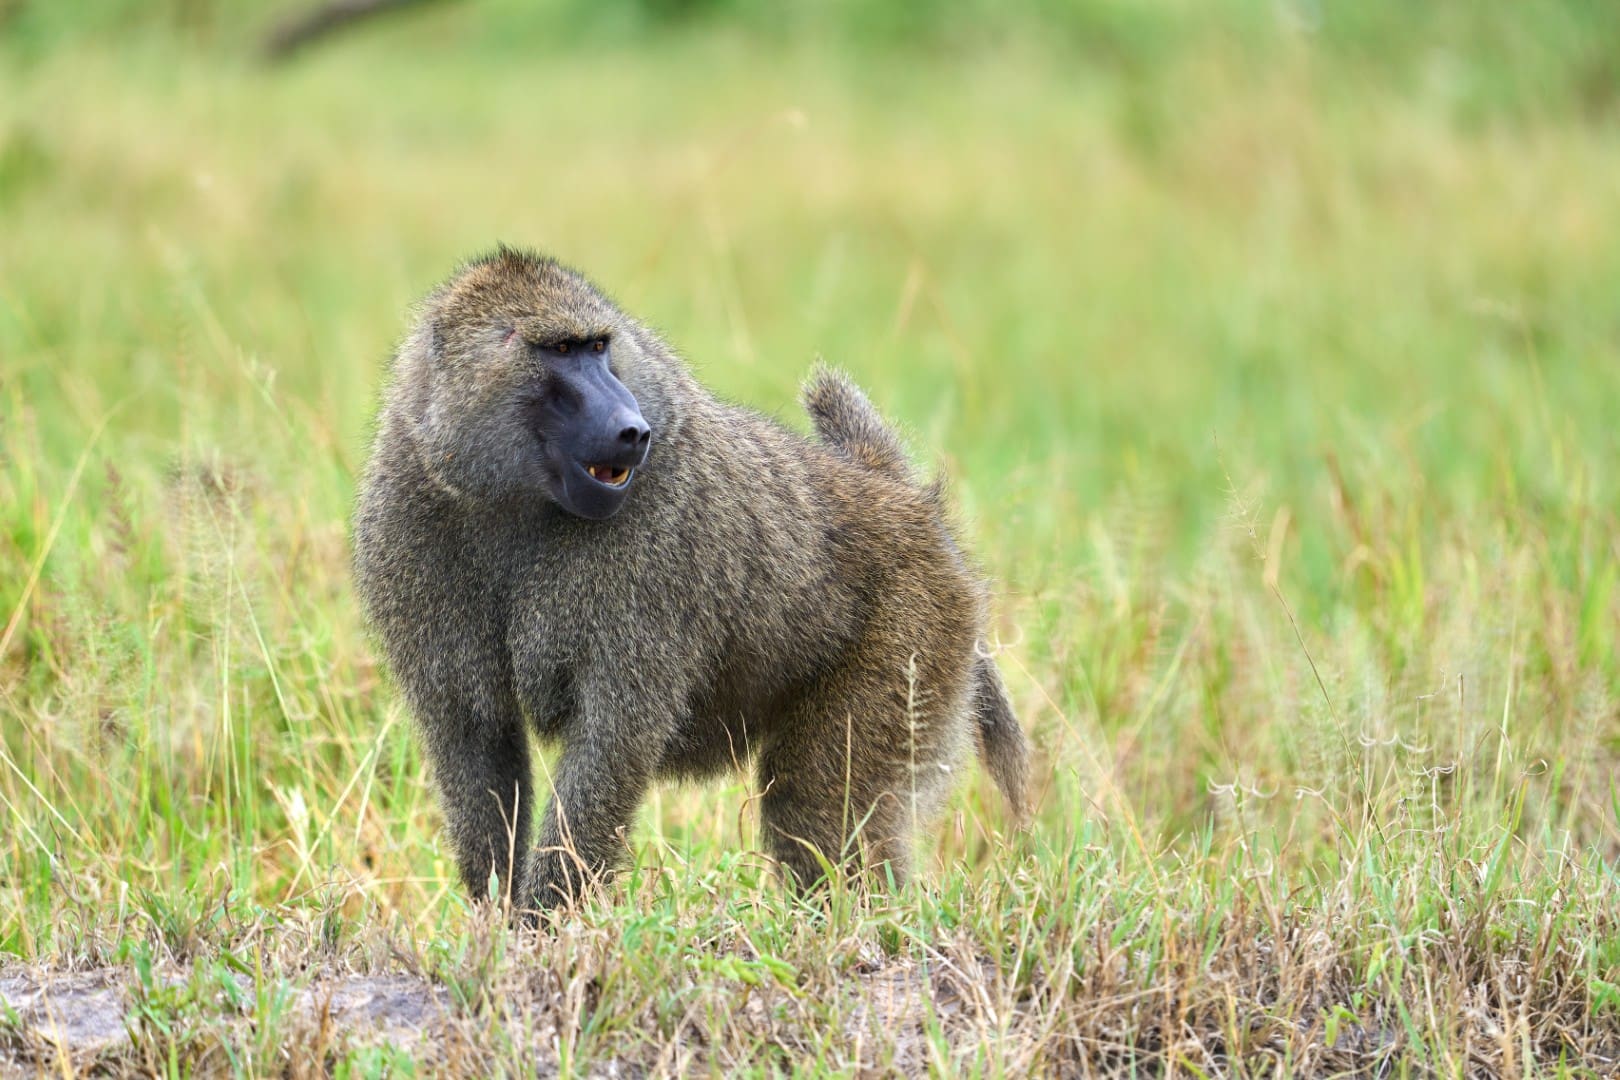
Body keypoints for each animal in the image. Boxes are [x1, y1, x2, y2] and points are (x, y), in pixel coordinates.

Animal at [353, 247, 1030, 914]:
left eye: (598, 346)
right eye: (560, 350)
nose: (632, 430)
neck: (515, 500)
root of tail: (902, 499)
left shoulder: (649, 557)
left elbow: (613, 739)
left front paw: (547, 920)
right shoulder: (406, 523)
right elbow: (473, 735)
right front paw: (495, 921)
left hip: (915, 631)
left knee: (814, 814)